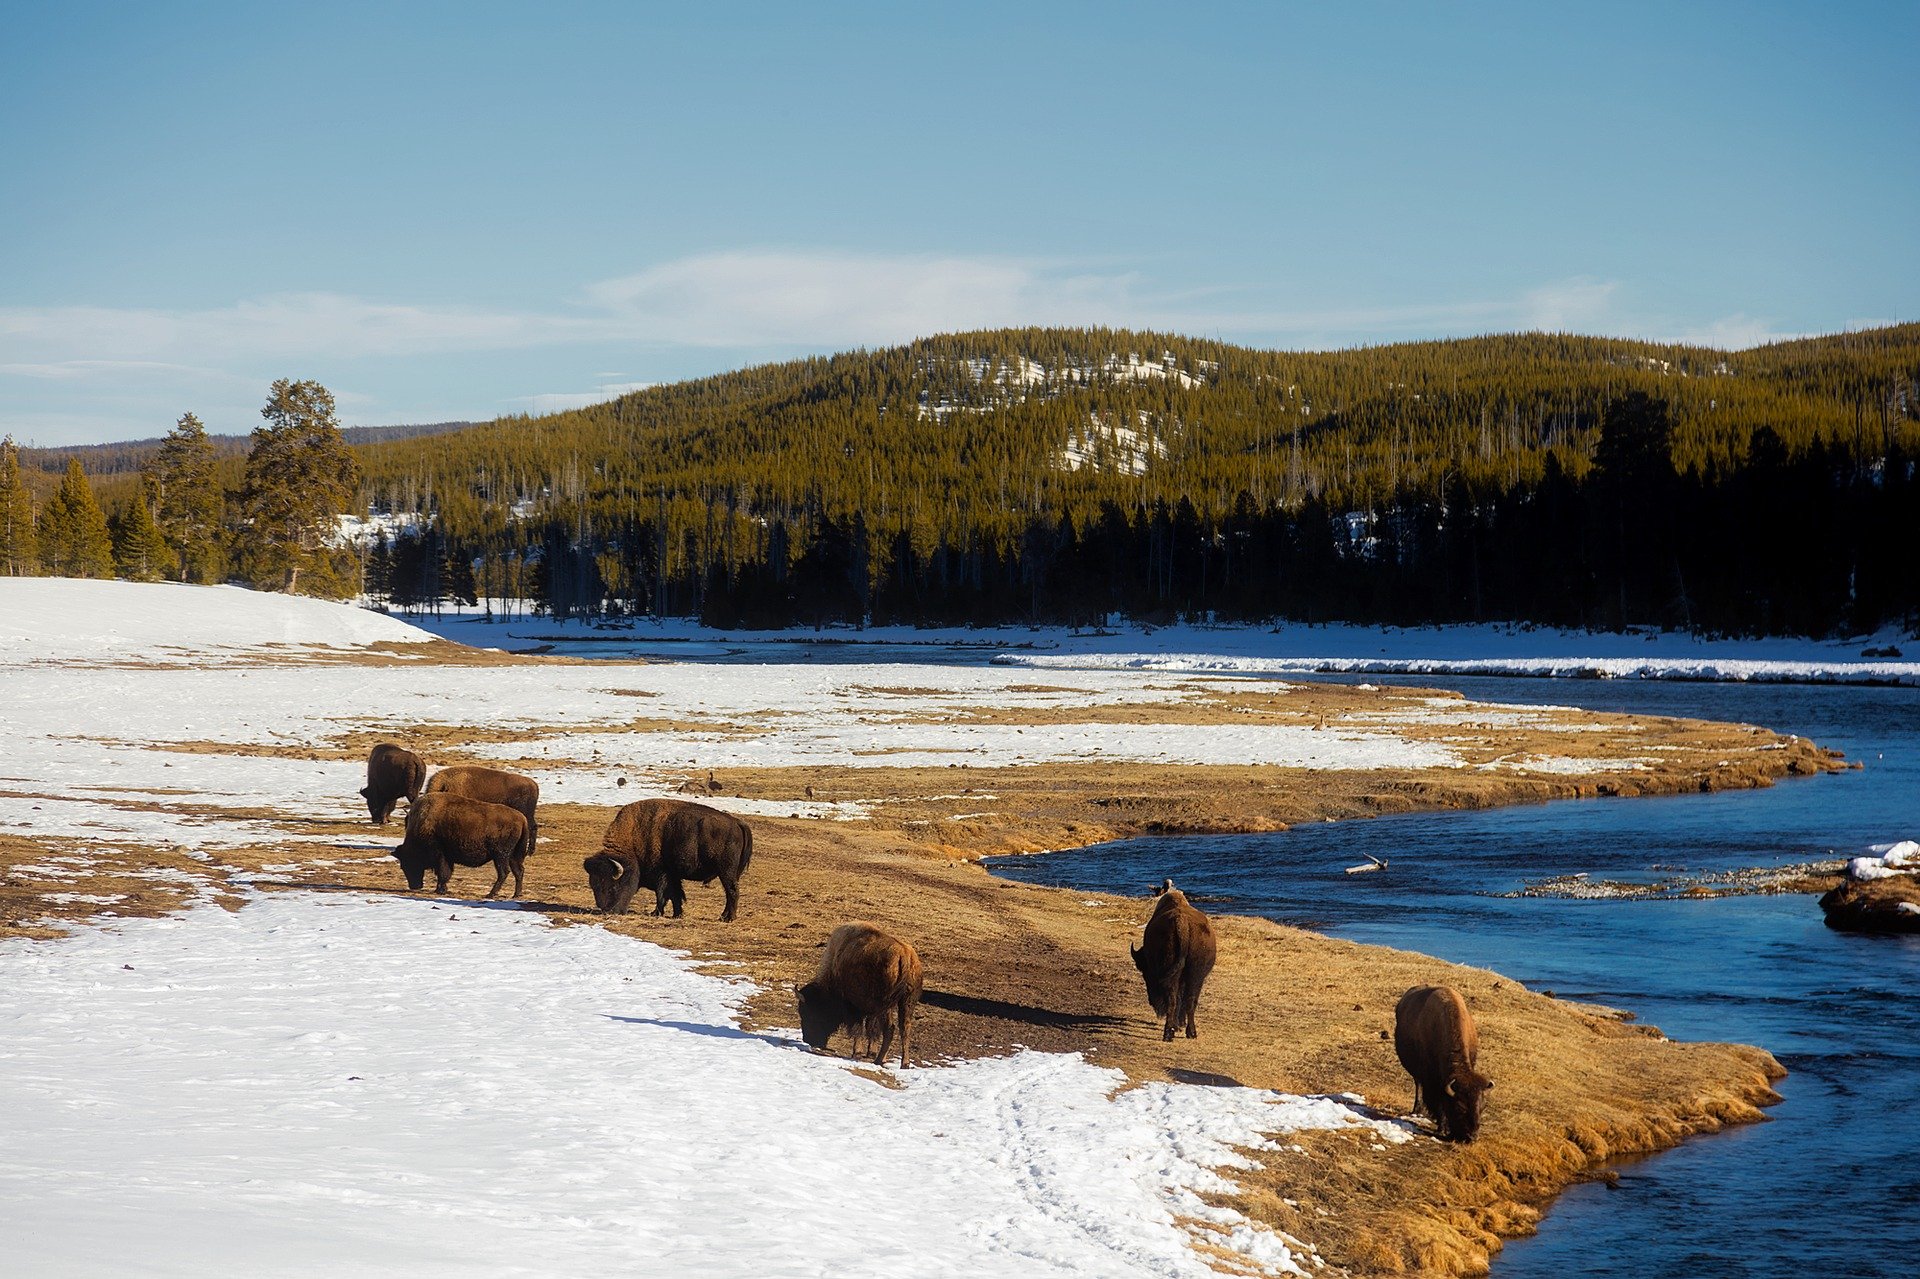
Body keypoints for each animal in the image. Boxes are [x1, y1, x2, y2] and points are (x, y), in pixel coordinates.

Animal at [387, 787, 529, 894]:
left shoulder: (440, 855)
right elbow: (446, 873)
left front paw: (440, 890)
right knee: (519, 871)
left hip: (500, 856)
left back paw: (491, 894)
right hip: (512, 856)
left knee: (504, 872)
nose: (414, 886)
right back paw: (515, 895)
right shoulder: (447, 857)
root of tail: (522, 819)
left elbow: (443, 873)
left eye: (405, 863)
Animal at [579, 798, 752, 917]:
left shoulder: (662, 874)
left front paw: (655, 913)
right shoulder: (673, 875)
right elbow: (675, 895)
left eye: (613, 886)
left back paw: (727, 918)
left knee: (732, 891)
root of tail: (737, 823)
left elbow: (662, 894)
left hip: (726, 872)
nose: (607, 911)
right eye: (594, 885)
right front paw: (677, 914)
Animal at [791, 917, 917, 1067]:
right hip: (906, 1003)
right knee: (905, 1029)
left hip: (886, 1006)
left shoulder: (853, 1007)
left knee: (890, 1029)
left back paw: (879, 1060)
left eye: (808, 1013)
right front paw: (869, 1052)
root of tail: (905, 955)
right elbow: (870, 1029)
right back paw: (904, 1063)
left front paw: (857, 1052)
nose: (809, 1040)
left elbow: (859, 1028)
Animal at [1121, 871, 1213, 1044]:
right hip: (1195, 976)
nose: (1151, 1002)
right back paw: (1189, 1032)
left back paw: (1169, 1032)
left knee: (1173, 999)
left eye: (1144, 969)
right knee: (1189, 1001)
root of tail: (1182, 924)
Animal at [1397, 979, 1497, 1136]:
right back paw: (1417, 1110)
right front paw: (1442, 1128)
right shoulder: (1433, 1080)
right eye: (1460, 1107)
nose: (1472, 1136)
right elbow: (1439, 1102)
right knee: (1418, 1085)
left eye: (1482, 1107)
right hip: (1417, 1074)